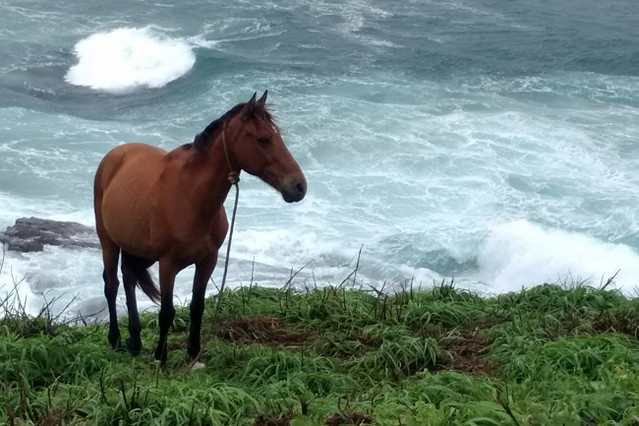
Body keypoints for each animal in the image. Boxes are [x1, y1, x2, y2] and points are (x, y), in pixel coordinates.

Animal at [92, 91, 308, 364]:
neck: (191, 196)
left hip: (139, 248)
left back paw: (135, 339)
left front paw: (194, 353)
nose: (299, 186)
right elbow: (167, 312)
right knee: (112, 284)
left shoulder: (208, 260)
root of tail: (115, 154)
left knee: (129, 277)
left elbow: (197, 307)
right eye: (264, 139)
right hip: (108, 241)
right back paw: (116, 340)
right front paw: (161, 358)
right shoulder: (168, 264)